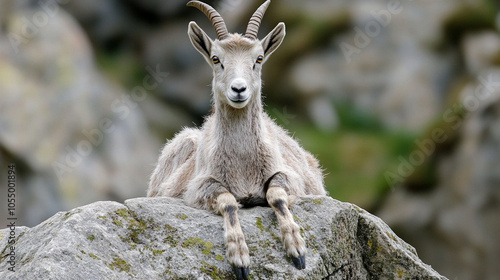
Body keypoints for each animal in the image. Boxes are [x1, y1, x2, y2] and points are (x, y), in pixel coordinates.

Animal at [147, 1, 328, 278]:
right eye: (216, 58)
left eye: (259, 58)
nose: (239, 89)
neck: (243, 163)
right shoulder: (200, 186)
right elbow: (229, 203)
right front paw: (240, 258)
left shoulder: (287, 175)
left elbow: (277, 195)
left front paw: (297, 250)